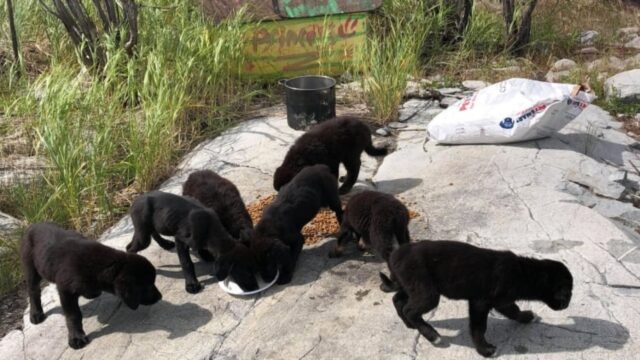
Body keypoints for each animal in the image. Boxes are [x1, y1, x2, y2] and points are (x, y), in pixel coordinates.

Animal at [22, 222, 162, 348]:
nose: (160, 297)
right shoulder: (66, 291)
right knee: (33, 291)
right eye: (146, 285)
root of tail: (33, 225)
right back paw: (36, 314)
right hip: (30, 267)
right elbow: (73, 315)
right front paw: (76, 337)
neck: (99, 266)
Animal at [125, 190, 258, 294]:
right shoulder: (180, 239)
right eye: (245, 271)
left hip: (154, 225)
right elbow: (187, 263)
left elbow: (200, 247)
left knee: (152, 233)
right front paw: (191, 284)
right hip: (143, 235)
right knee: (130, 248)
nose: (255, 287)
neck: (210, 227)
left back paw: (165, 244)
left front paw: (206, 254)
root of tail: (134, 201)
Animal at [380, 239, 576, 358]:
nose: (567, 305)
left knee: (398, 300)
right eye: (567, 292)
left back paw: (410, 325)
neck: (522, 273)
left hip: (410, 286)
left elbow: (514, 311)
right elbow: (479, 327)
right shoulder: (480, 302)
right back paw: (431, 335)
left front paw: (526, 316)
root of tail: (394, 255)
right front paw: (484, 349)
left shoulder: (502, 301)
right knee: (409, 309)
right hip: (427, 292)